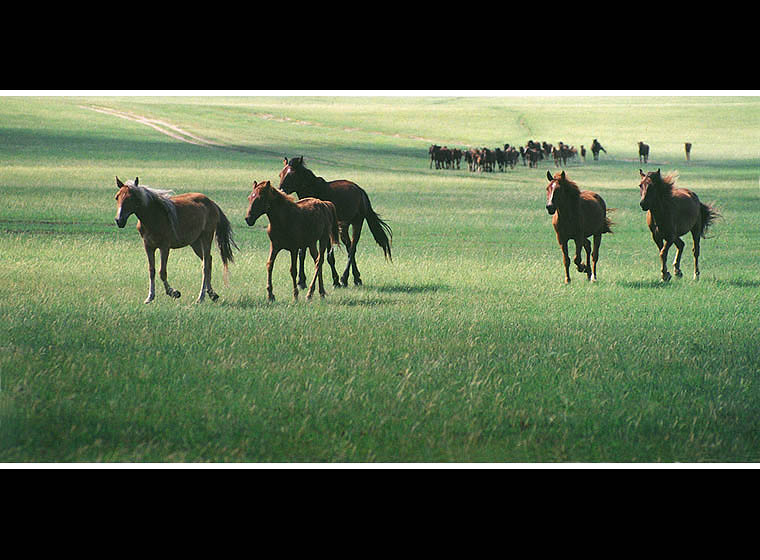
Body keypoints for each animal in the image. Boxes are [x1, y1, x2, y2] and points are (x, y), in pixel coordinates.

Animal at [278, 156, 392, 288]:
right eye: (280, 174)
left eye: (292, 174)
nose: (280, 191)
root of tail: (360, 191)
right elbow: (302, 253)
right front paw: (301, 281)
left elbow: (329, 256)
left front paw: (336, 281)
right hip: (343, 227)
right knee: (349, 247)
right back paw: (356, 278)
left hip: (357, 223)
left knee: (352, 248)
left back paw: (344, 278)